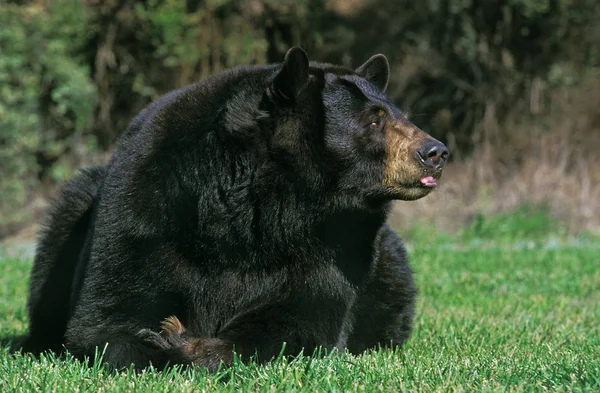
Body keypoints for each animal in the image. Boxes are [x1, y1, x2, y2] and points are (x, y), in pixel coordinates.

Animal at [16, 47, 448, 370]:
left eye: (401, 115)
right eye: (375, 121)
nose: (435, 152)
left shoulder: (338, 244)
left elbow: (304, 322)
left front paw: (188, 343)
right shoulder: (145, 212)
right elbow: (106, 320)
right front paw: (156, 340)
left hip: (388, 260)